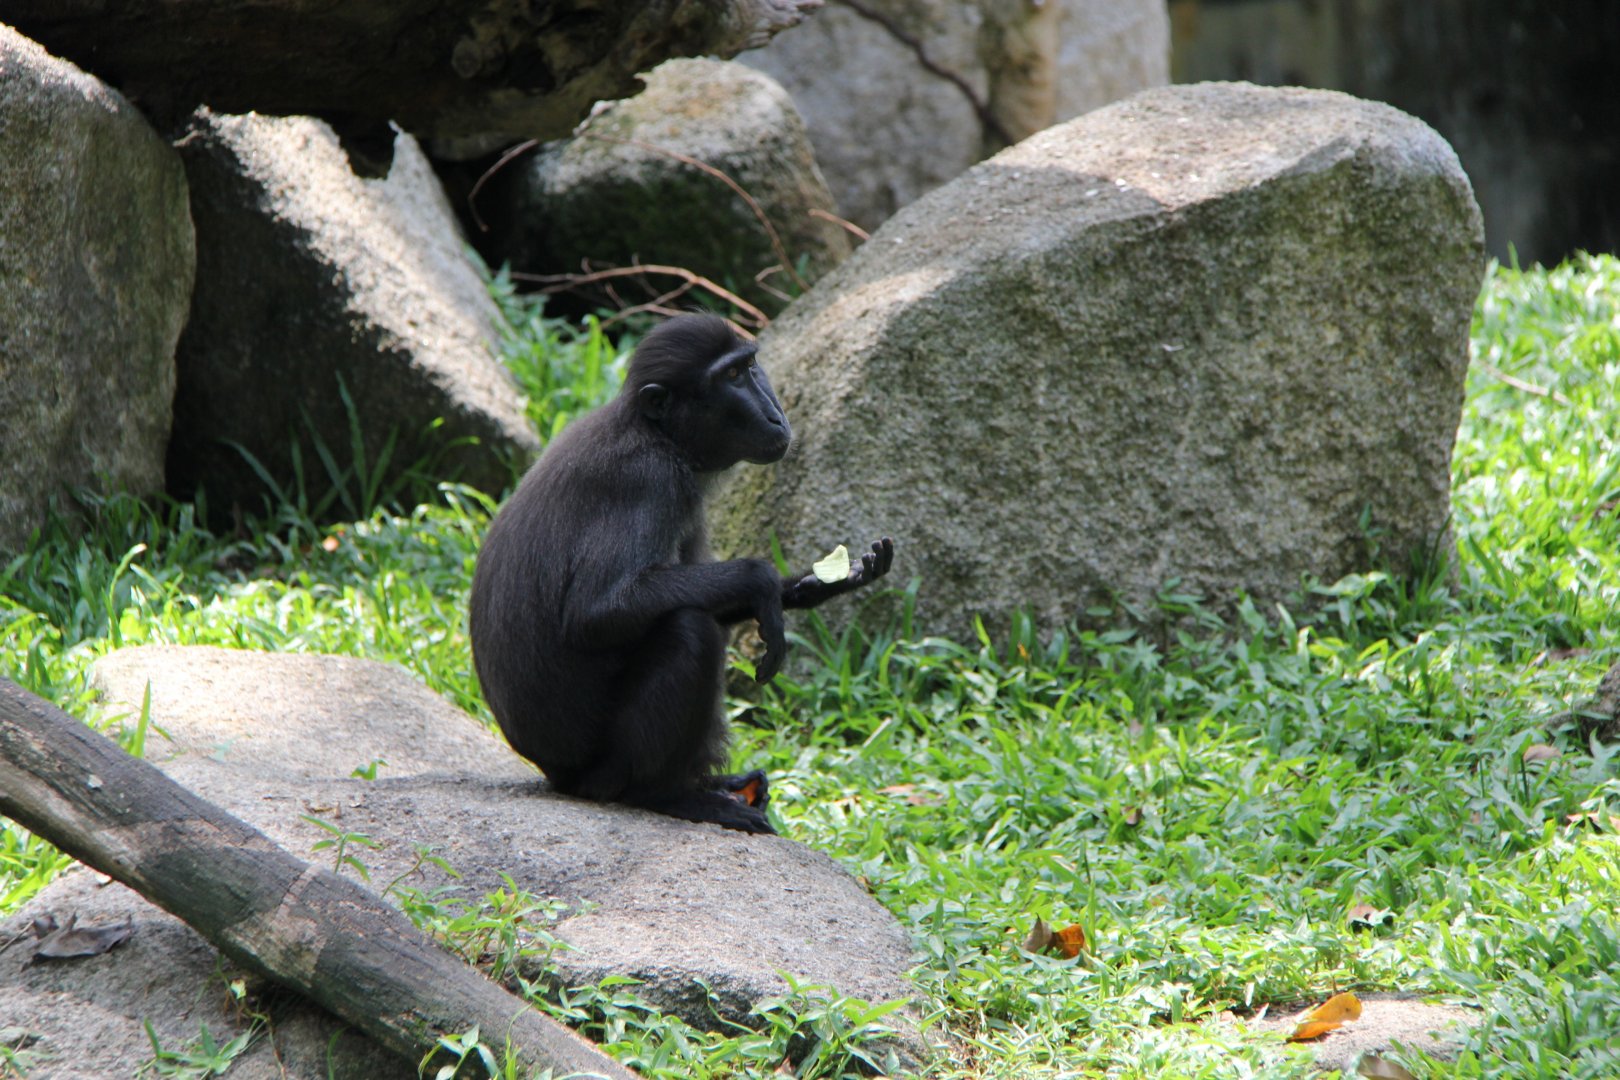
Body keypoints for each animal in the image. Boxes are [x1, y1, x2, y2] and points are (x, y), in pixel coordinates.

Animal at [469, 314, 895, 834]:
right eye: (731, 377)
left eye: (750, 367)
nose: (776, 415)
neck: (656, 432)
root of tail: (556, 775)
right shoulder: (651, 479)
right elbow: (596, 612)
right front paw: (762, 581)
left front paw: (817, 583)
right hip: (604, 769)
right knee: (690, 629)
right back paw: (671, 795)